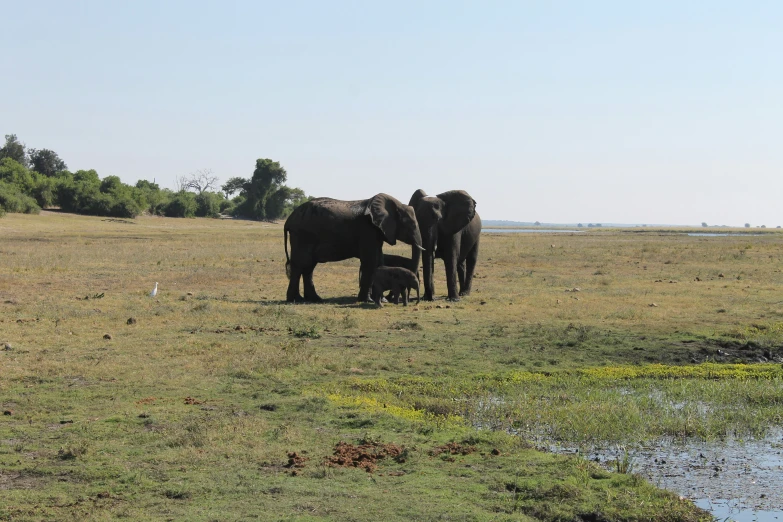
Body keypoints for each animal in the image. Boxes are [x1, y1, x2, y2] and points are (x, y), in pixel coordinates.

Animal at [286, 194, 426, 300]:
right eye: (411, 225)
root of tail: (289, 218)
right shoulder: (367, 230)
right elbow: (371, 261)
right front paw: (368, 300)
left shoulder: (377, 231)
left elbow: (379, 261)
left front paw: (381, 300)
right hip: (302, 235)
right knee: (300, 264)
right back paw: (296, 299)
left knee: (308, 267)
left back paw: (315, 299)